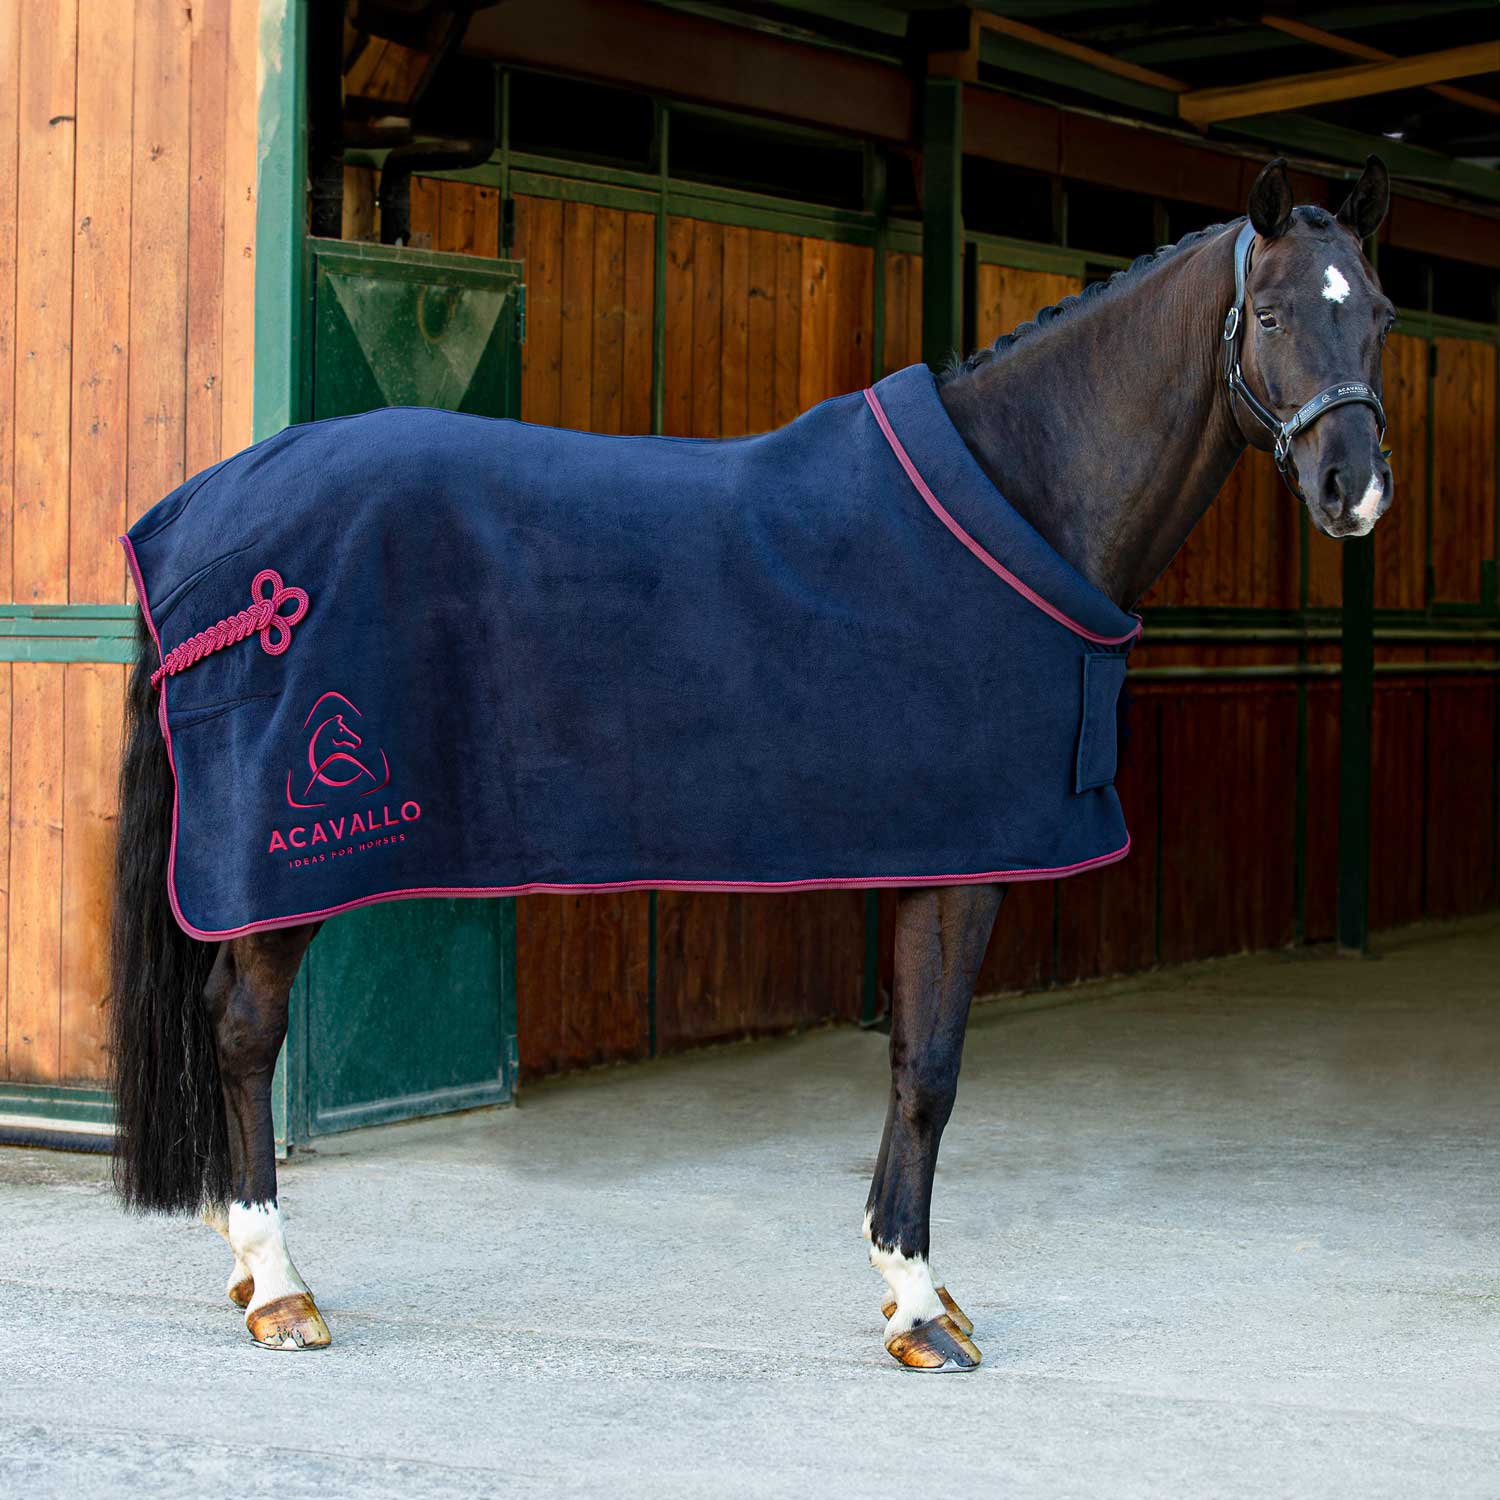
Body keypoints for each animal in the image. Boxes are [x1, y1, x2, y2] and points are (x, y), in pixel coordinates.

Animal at [108, 156, 1395, 1368]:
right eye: (1270, 312)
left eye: (1379, 313)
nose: (1356, 490)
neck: (1020, 496)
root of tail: (201, 509)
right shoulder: (963, 866)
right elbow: (931, 1075)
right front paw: (916, 1307)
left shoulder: (922, 859)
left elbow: (909, 1071)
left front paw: (915, 1287)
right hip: (292, 859)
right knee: (243, 1027)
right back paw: (279, 1287)